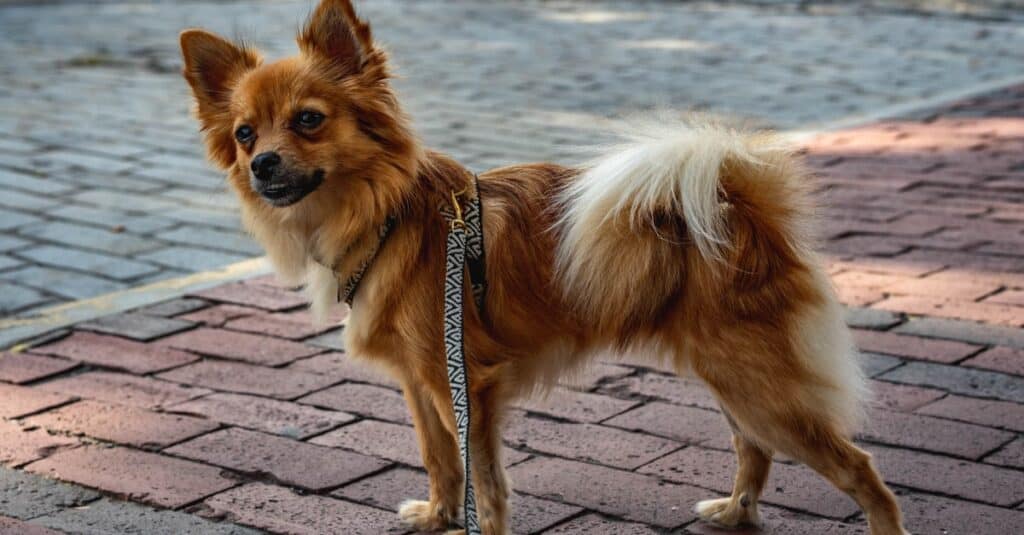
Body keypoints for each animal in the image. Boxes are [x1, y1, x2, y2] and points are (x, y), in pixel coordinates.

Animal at [180, 2, 909, 528]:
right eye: (244, 133)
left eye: (308, 121)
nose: (261, 164)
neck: (387, 213)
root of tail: (741, 207)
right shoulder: (422, 383)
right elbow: (439, 458)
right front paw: (439, 515)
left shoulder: (464, 385)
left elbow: (484, 479)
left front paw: (478, 522)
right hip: (733, 378)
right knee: (752, 447)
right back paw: (735, 512)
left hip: (760, 385)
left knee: (860, 470)